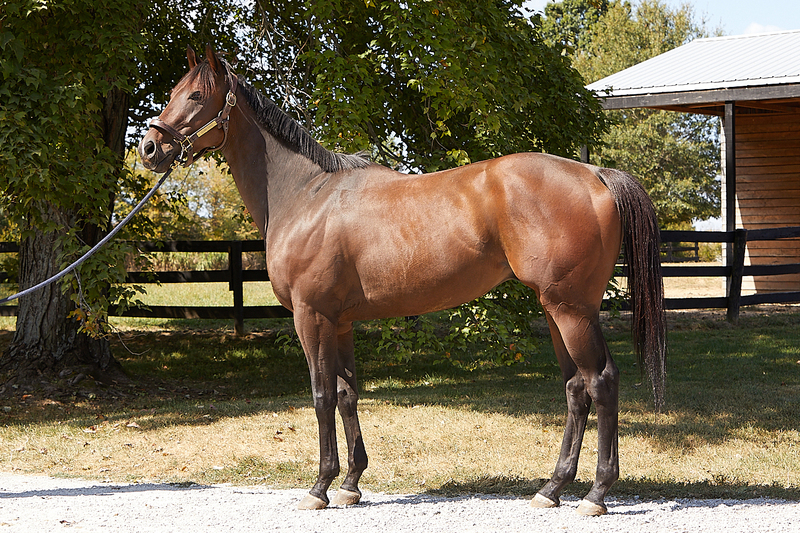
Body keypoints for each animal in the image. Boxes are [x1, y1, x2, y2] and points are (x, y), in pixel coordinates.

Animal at [139, 46, 668, 516]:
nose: (149, 148)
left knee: (601, 381)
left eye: (196, 95)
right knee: (576, 389)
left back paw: (596, 495)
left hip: (571, 309)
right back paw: (551, 489)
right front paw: (350, 484)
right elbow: (347, 394)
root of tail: (595, 173)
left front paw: (320, 487)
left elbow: (321, 395)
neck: (305, 195)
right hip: (555, 308)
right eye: (174, 91)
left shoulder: (312, 317)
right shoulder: (340, 322)